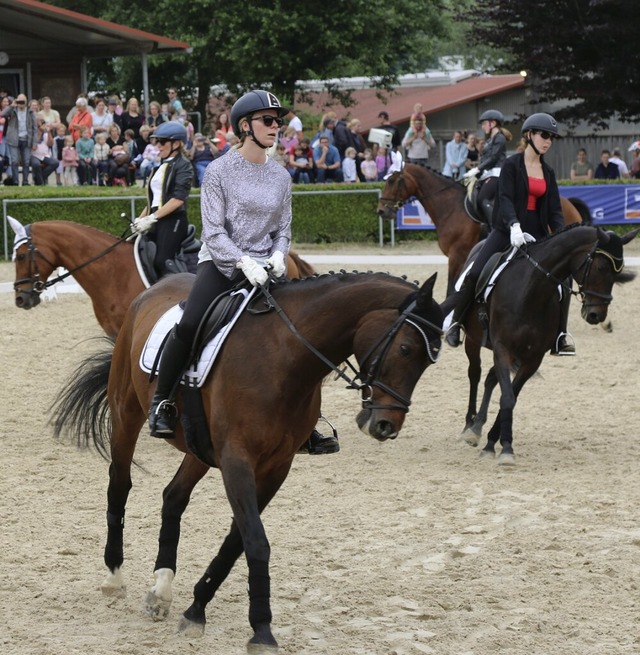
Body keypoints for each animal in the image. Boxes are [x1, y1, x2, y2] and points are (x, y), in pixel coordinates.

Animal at [51, 270, 444, 648]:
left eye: (430, 360)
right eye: (406, 348)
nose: (386, 426)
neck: (286, 358)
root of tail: (153, 289)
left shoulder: (276, 466)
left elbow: (236, 542)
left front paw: (196, 610)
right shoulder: (237, 459)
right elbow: (255, 539)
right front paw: (262, 631)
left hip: (198, 447)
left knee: (173, 497)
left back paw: (161, 589)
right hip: (126, 414)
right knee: (120, 484)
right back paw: (115, 577)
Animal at [378, 164, 592, 298]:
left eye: (392, 181)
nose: (381, 211)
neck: (450, 206)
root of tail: (569, 203)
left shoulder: (456, 256)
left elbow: (451, 286)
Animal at [452, 227, 636, 466]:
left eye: (618, 272)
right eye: (601, 267)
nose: (597, 315)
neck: (531, 291)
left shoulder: (533, 358)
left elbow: (511, 396)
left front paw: (498, 443)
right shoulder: (503, 348)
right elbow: (507, 396)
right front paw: (501, 448)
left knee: (491, 378)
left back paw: (477, 426)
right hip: (474, 340)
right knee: (474, 374)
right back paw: (469, 428)